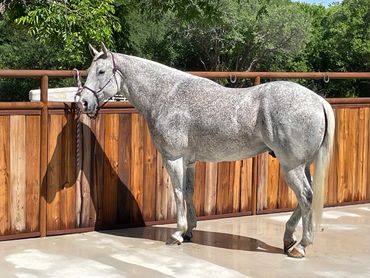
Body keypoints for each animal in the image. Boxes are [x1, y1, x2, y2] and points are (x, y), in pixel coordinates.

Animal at [78, 43, 336, 258]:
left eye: (101, 72)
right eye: (90, 70)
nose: (83, 103)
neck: (166, 94)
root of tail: (318, 101)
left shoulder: (173, 158)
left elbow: (177, 192)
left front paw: (177, 234)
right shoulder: (189, 160)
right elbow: (189, 192)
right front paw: (189, 231)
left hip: (291, 166)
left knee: (306, 197)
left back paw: (301, 246)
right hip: (300, 165)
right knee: (306, 198)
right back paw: (289, 240)